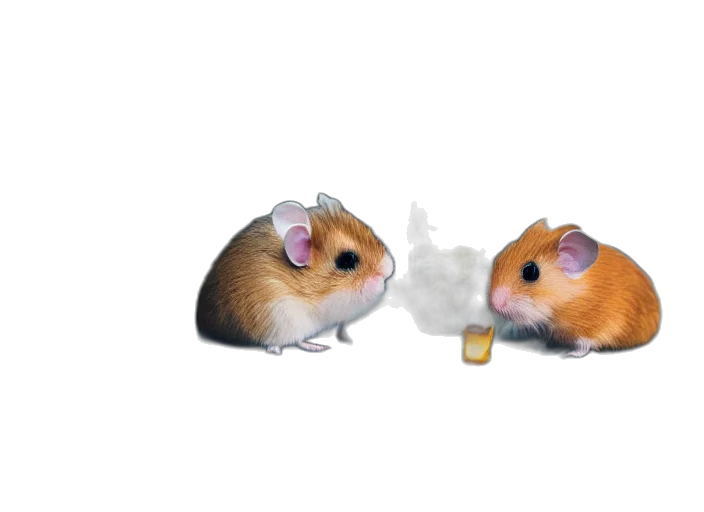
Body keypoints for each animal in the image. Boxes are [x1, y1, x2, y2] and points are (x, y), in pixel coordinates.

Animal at [195, 193, 395, 355]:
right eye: (347, 260)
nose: (389, 271)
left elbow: (340, 328)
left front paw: (347, 338)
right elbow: (296, 341)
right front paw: (322, 347)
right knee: (284, 343)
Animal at [487, 218, 662, 359]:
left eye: (530, 272)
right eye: (499, 259)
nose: (494, 305)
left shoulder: (590, 329)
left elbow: (583, 346)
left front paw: (568, 355)